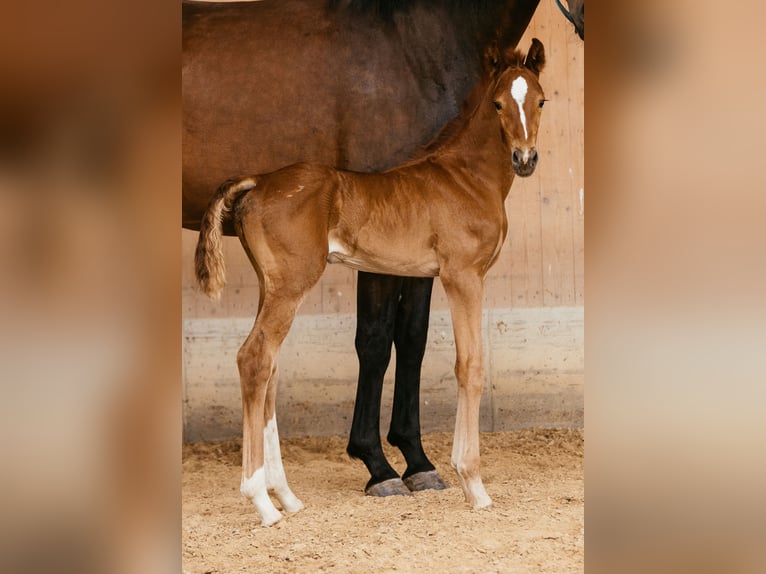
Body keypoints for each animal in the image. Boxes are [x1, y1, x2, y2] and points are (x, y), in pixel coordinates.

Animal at [182, 0, 540, 498]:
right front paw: (464, 482)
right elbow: (462, 364)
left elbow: (417, 344)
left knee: (268, 366)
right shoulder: (462, 276)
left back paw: (285, 497)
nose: (525, 159)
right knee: (255, 359)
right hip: (292, 284)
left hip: (271, 285)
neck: (462, 176)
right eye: (498, 103)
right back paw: (265, 500)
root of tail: (258, 180)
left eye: (541, 100)